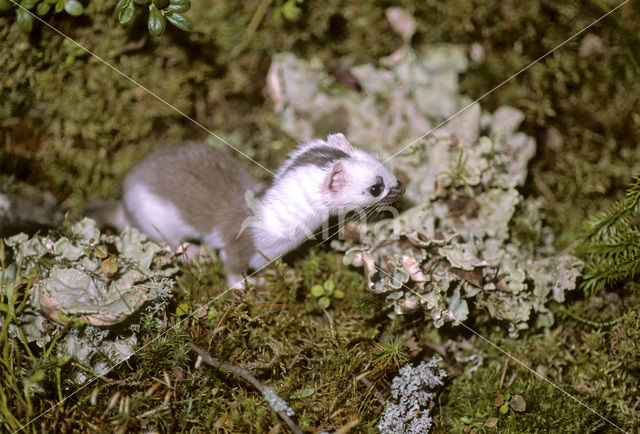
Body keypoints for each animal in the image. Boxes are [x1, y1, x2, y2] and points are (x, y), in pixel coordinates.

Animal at [85, 134, 404, 286]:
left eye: (381, 163)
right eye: (375, 187)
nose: (401, 186)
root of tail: (125, 201)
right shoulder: (238, 241)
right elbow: (232, 265)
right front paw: (244, 285)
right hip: (154, 215)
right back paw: (193, 251)